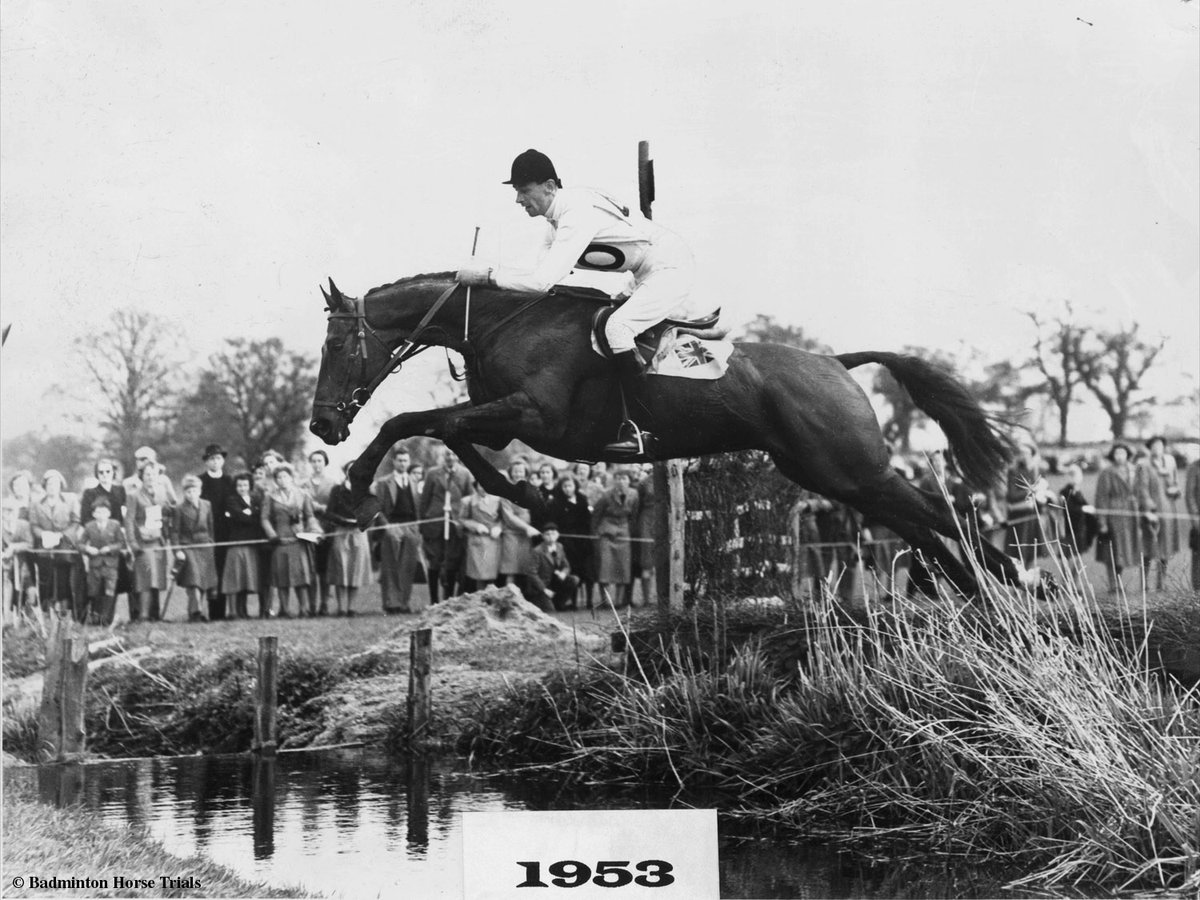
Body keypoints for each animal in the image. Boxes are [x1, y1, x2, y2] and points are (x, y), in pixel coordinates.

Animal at [309, 272, 1026, 595]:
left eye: (336, 346)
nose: (321, 424)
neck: (497, 322)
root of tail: (835, 364)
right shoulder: (506, 422)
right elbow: (448, 432)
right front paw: (530, 497)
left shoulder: (537, 418)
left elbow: (411, 421)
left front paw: (351, 492)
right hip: (827, 474)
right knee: (918, 521)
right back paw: (974, 585)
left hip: (848, 467)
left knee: (941, 509)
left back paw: (1009, 575)